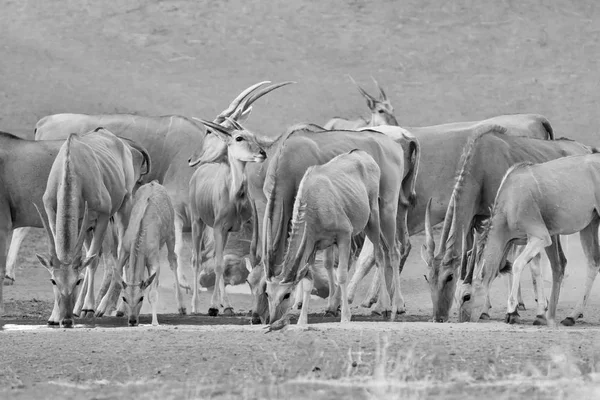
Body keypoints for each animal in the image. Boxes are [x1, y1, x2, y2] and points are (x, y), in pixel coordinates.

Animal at [116, 183, 184, 326]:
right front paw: (120, 310)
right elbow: (119, 278)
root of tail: (154, 182)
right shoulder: (124, 250)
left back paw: (182, 306)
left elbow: (152, 294)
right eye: (124, 298)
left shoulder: (154, 260)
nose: (132, 320)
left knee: (173, 260)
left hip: (171, 232)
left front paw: (155, 322)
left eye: (141, 298)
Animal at [190, 118, 268, 316]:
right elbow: (218, 265)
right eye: (239, 138)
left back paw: (226, 305)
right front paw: (212, 306)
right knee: (197, 260)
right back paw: (195, 306)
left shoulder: (238, 229)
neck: (235, 197)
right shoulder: (219, 228)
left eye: (253, 136)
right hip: (198, 223)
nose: (262, 153)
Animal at [266, 150, 384, 324]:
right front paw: (302, 321)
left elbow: (341, 275)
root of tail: (362, 154)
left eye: (286, 295)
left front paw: (346, 317)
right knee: (334, 262)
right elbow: (308, 282)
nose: (272, 320)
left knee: (380, 255)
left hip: (372, 220)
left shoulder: (344, 234)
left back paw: (382, 306)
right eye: (267, 293)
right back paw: (332, 306)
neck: (314, 200)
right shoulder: (313, 245)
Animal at [466, 152, 600, 326]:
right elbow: (530, 267)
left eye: (466, 296)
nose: (463, 319)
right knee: (593, 262)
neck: (510, 199)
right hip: (590, 224)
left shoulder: (541, 236)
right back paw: (571, 316)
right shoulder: (528, 239)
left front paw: (512, 311)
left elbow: (517, 265)